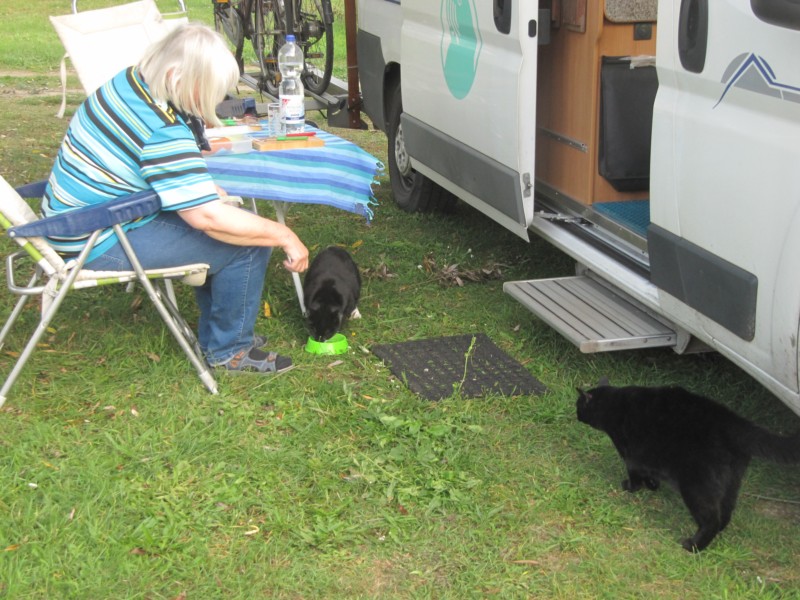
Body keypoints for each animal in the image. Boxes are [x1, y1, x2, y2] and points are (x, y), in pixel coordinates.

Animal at [576, 382, 800, 552]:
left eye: (578, 405)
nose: (576, 413)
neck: (614, 404)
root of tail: (733, 422)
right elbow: (650, 473)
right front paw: (653, 485)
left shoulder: (630, 454)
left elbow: (635, 475)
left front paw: (631, 487)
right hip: (731, 481)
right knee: (726, 511)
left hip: (697, 486)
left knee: (711, 519)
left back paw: (693, 546)